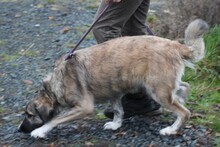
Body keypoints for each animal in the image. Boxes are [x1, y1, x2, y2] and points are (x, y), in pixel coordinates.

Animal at [18, 18, 208, 138]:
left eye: (29, 115)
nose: (20, 129)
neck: (56, 84)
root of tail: (175, 45)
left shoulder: (84, 107)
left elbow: (55, 119)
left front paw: (41, 131)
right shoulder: (114, 94)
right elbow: (118, 110)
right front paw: (116, 124)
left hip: (157, 90)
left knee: (185, 112)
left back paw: (171, 129)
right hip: (160, 85)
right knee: (184, 87)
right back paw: (180, 100)